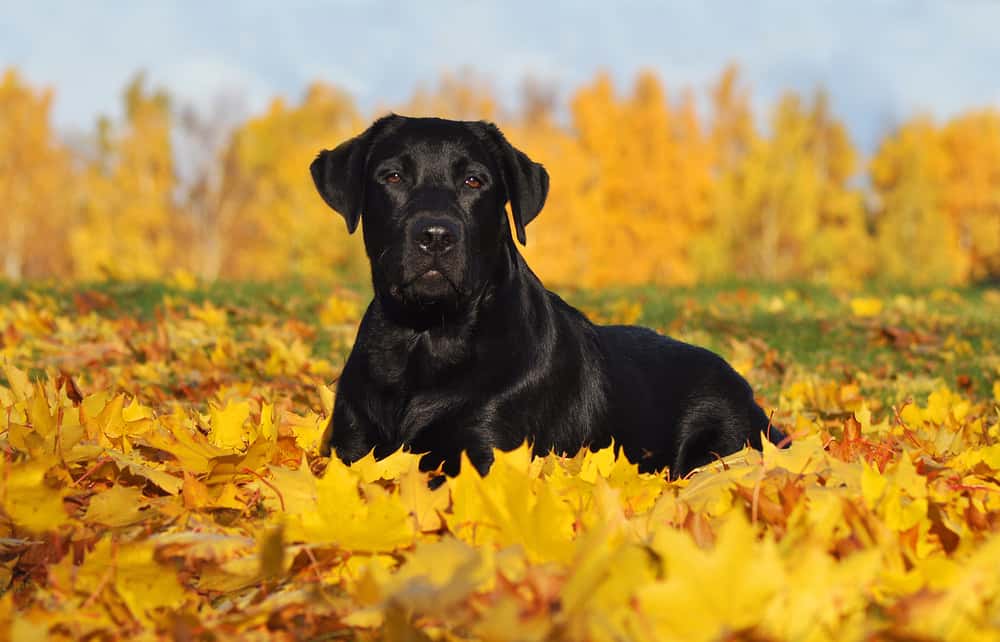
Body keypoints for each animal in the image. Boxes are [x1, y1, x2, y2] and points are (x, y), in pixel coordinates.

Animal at [310, 114, 780, 476]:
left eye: (474, 180)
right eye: (392, 176)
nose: (436, 235)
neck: (426, 337)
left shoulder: (487, 450)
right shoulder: (351, 446)